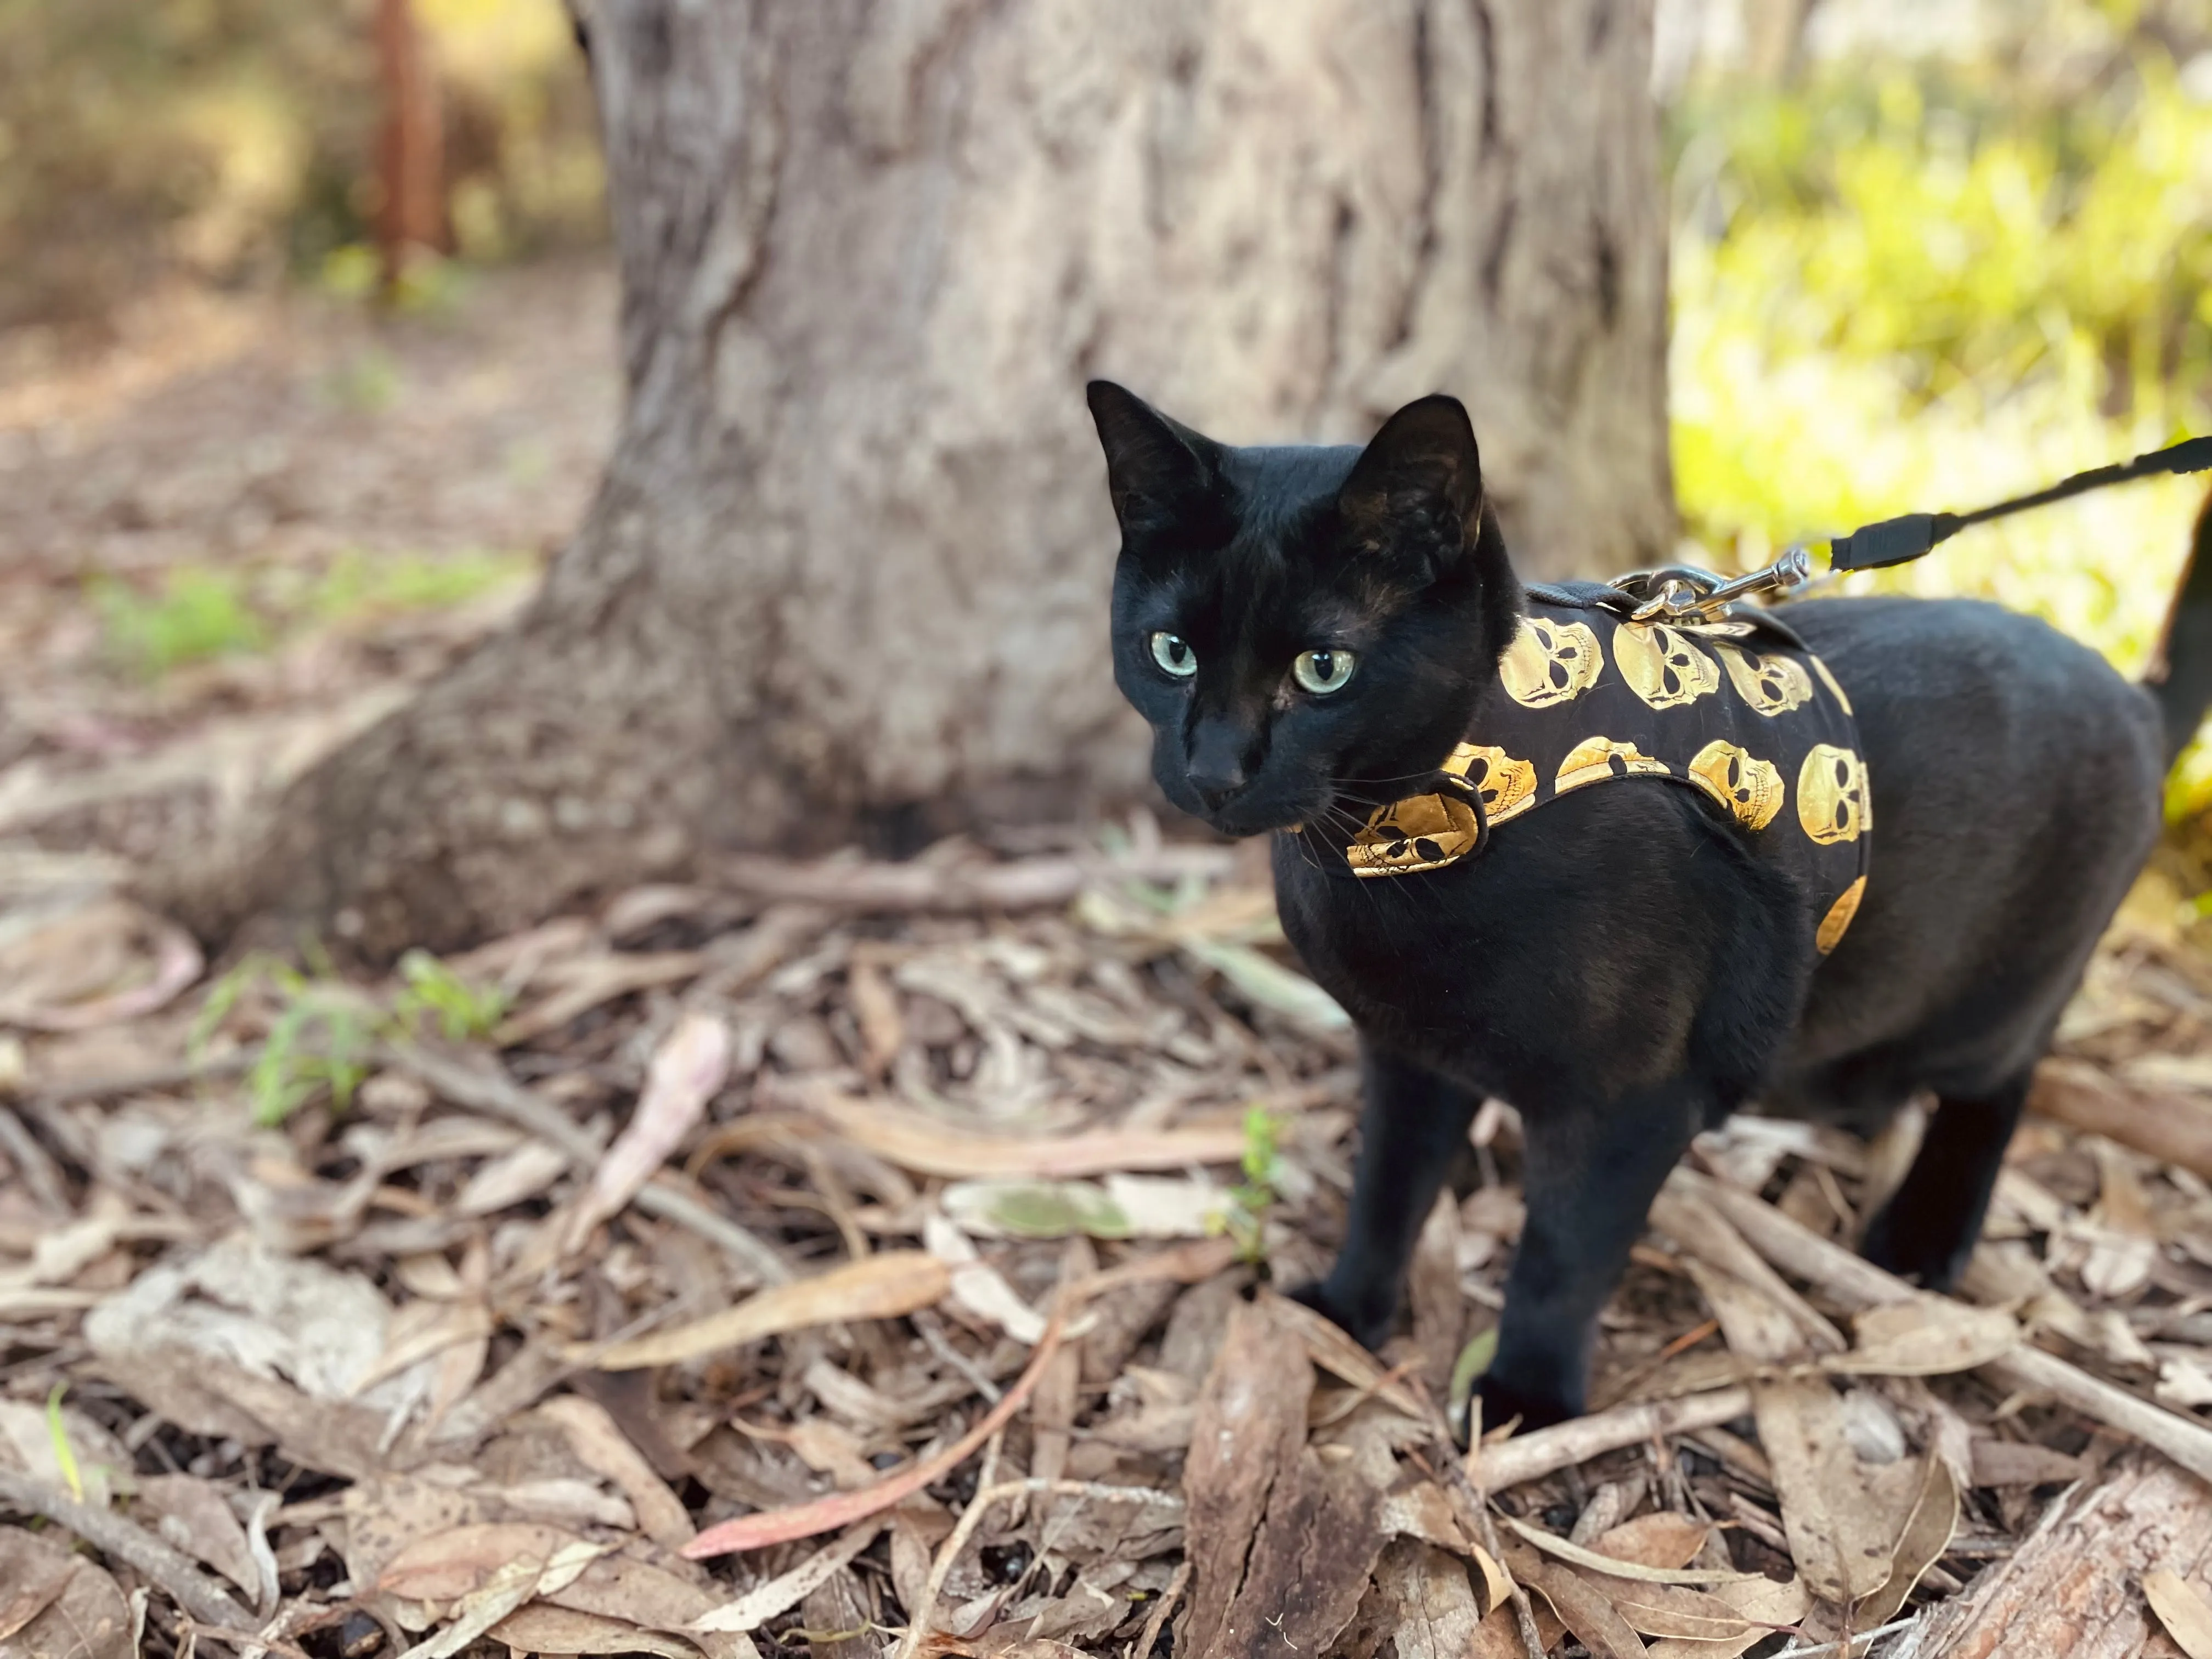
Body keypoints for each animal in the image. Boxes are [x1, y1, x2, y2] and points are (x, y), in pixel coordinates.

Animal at [1092, 380, 2212, 1433]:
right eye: (1170, 652)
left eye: (1323, 668)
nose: (1214, 770)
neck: (1420, 832)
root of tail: (2135, 698)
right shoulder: (1407, 1055)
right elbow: (1386, 1188)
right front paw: (1342, 1314)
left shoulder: (1628, 1104)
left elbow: (1561, 1255)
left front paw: (1526, 1398)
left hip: (1997, 1000)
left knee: (1999, 1087)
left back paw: (1922, 1236)